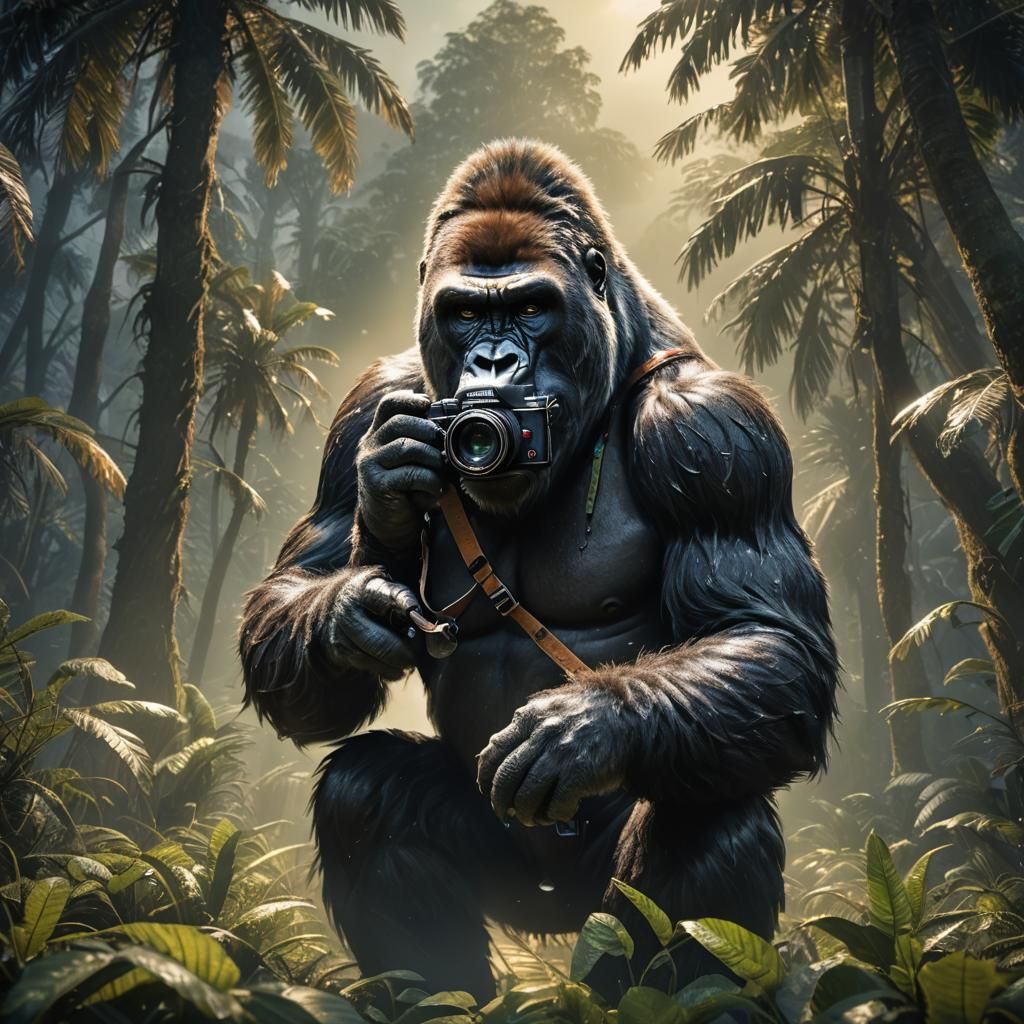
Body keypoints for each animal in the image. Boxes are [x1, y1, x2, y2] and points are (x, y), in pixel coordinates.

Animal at [239, 139, 839, 1001]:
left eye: (529, 307)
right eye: (463, 313)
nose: (493, 362)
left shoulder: (716, 430)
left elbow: (767, 636)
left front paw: (584, 728)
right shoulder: (366, 408)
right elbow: (290, 600)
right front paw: (356, 605)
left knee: (711, 814)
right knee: (364, 792)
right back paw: (442, 998)